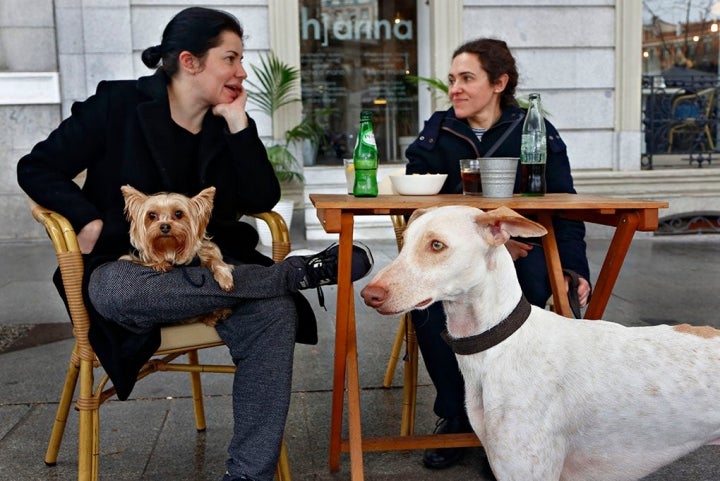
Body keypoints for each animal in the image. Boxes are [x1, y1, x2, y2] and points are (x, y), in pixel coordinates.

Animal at [120, 185, 233, 326]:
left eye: (178, 213)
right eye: (152, 215)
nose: (164, 226)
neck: (170, 248)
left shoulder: (206, 252)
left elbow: (216, 260)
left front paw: (226, 279)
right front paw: (160, 264)